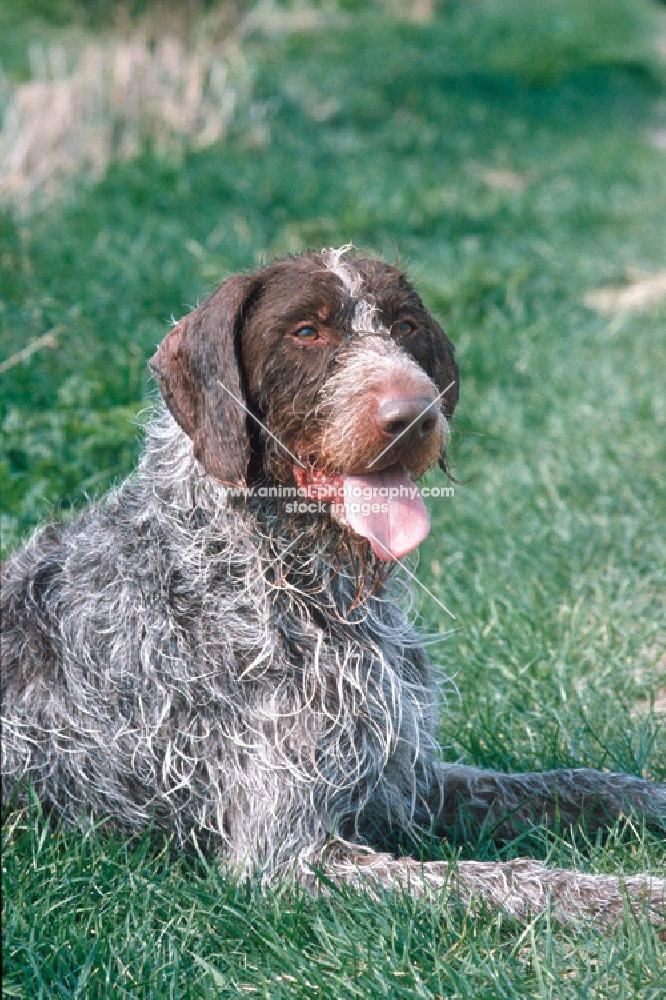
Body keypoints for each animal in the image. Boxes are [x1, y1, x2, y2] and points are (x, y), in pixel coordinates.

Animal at [1, 252, 664, 928]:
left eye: (404, 326)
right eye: (306, 333)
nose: (414, 416)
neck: (301, 583)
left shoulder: (406, 777)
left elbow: (582, 783)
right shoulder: (287, 858)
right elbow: (509, 880)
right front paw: (636, 900)